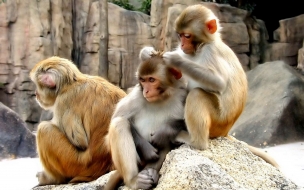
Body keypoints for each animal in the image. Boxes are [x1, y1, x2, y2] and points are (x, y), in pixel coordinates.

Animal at [29, 55, 126, 185]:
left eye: (37, 85)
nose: (35, 93)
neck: (70, 83)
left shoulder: (64, 101)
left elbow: (80, 142)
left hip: (76, 164)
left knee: (44, 129)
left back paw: (52, 179)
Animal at [105, 46, 190, 190]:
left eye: (151, 80)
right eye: (143, 80)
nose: (146, 91)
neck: (162, 98)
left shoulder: (183, 94)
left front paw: (164, 131)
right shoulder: (136, 97)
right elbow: (116, 121)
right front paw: (147, 149)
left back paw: (152, 172)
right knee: (119, 124)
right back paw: (134, 180)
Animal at [163, 4, 280, 168]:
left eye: (187, 36)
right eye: (180, 36)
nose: (182, 44)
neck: (201, 47)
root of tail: (225, 132)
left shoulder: (211, 51)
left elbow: (218, 82)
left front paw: (175, 60)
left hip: (218, 121)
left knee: (197, 94)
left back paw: (196, 142)